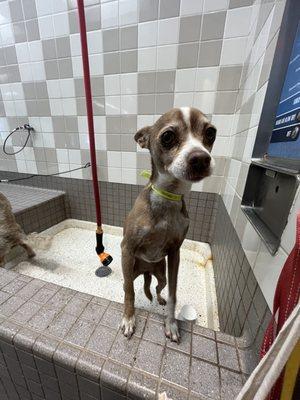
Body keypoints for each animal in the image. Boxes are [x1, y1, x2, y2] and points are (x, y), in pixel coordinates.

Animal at [120, 108, 217, 342]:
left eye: (211, 133)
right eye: (167, 136)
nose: (201, 158)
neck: (168, 197)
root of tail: (146, 269)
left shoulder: (174, 254)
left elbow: (173, 294)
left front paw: (171, 324)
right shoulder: (127, 248)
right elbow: (130, 293)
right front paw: (129, 319)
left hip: (161, 274)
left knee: (156, 287)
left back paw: (159, 298)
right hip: (130, 269)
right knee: (130, 286)